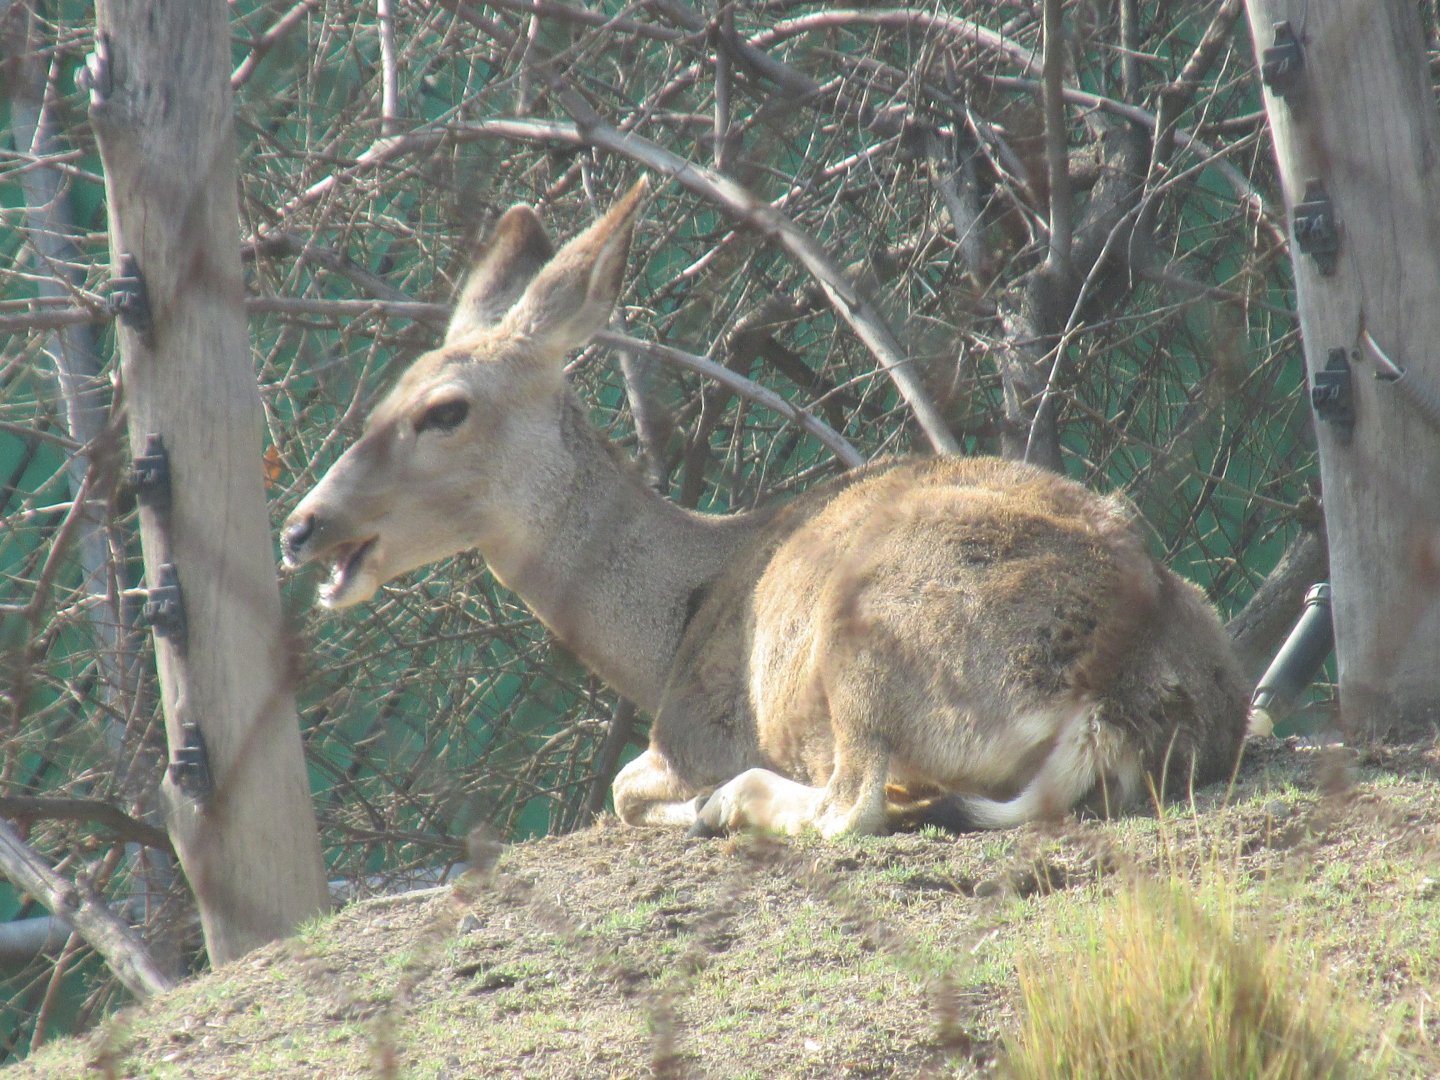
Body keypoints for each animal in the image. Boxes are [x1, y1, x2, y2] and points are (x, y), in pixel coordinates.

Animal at [281, 180, 1250, 839]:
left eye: (443, 409)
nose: (301, 527)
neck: (669, 627)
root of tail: (1114, 698)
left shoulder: (699, 728)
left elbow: (624, 788)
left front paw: (692, 804)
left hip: (868, 641)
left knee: (850, 806)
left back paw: (731, 804)